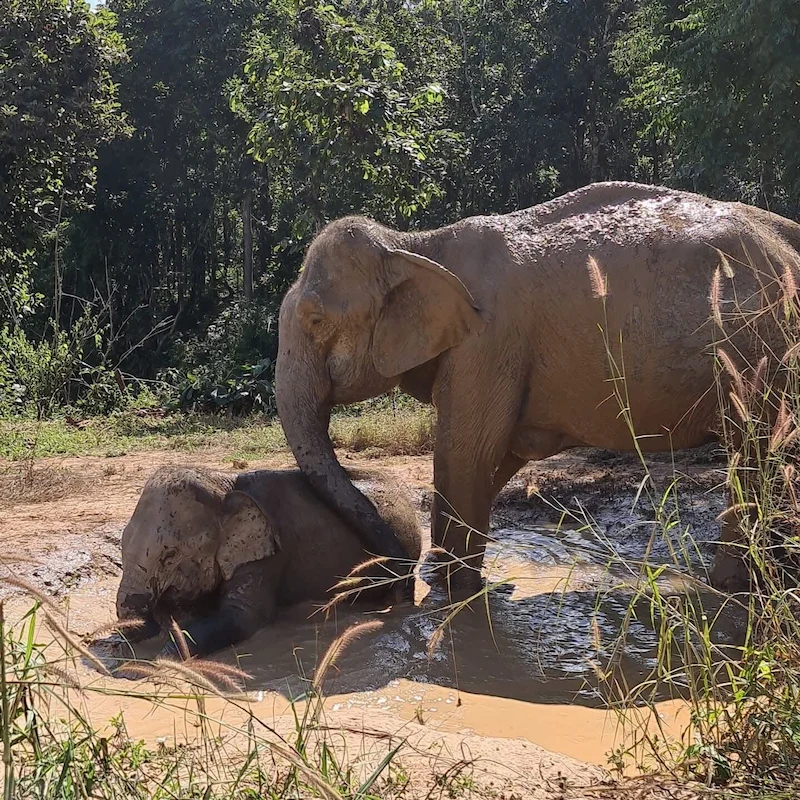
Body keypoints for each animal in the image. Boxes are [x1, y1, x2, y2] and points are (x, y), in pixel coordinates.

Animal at [115, 465, 422, 659]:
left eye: (170, 556)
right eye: (121, 544)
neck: (222, 484)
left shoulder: (269, 555)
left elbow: (243, 617)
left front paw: (164, 656)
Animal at [274, 180, 800, 595]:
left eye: (315, 320)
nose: (398, 573)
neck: (416, 244)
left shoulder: (489, 340)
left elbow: (465, 452)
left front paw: (455, 591)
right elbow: (498, 455)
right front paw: (450, 576)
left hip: (759, 351)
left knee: (753, 454)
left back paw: (729, 587)